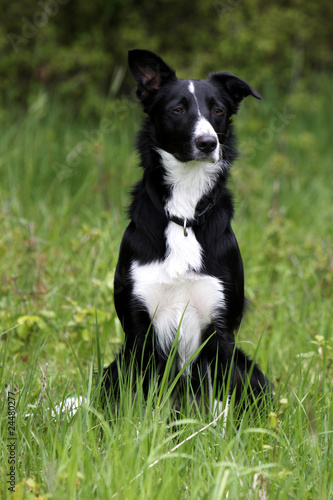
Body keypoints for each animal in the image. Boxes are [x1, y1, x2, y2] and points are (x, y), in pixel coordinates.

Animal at [103, 49, 270, 410]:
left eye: (218, 110)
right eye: (177, 109)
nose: (207, 142)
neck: (185, 211)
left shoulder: (220, 332)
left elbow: (221, 406)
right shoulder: (140, 330)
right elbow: (139, 404)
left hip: (250, 370)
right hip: (114, 367)